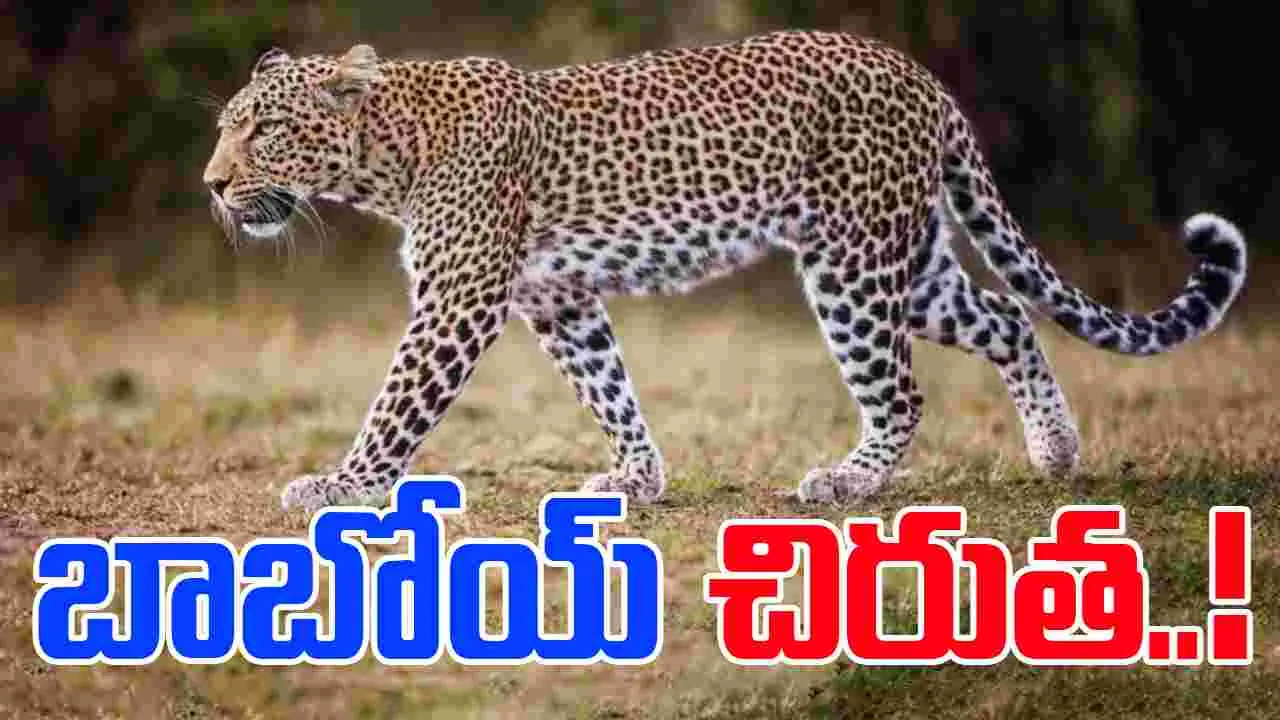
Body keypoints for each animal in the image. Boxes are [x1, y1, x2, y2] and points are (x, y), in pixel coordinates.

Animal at [201, 31, 1247, 515]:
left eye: (264, 128)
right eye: (226, 126)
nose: (211, 185)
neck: (386, 159)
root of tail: (918, 76)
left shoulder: (460, 301)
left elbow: (395, 407)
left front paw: (340, 487)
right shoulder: (555, 297)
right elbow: (609, 387)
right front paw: (637, 480)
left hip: (850, 262)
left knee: (903, 390)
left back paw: (847, 481)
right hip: (907, 261)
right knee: (1006, 318)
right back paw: (1055, 451)